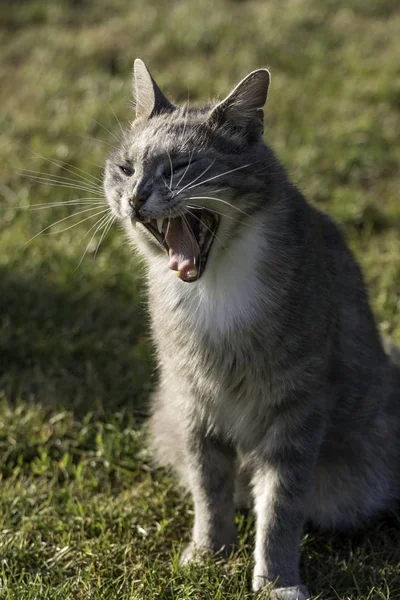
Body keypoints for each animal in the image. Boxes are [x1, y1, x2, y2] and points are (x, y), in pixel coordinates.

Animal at [103, 57, 400, 600]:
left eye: (179, 167)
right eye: (126, 168)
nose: (134, 199)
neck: (215, 287)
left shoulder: (297, 407)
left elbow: (282, 504)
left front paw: (277, 582)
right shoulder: (192, 400)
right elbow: (209, 485)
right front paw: (209, 553)